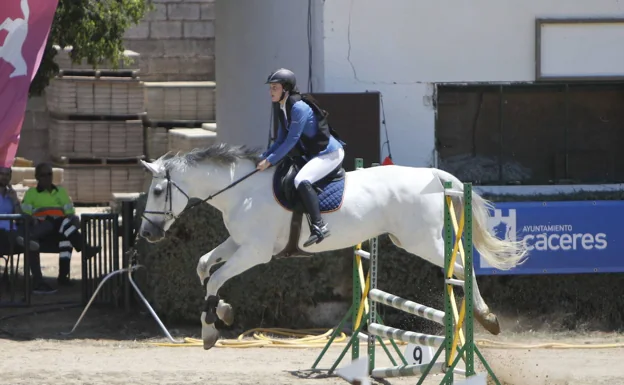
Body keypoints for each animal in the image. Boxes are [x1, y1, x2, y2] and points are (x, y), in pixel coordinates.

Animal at [140, 142, 528, 350]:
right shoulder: (238, 242)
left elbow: (217, 278)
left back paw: (486, 317)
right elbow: (204, 266)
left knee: (461, 266)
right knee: (460, 266)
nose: (147, 234)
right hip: (412, 240)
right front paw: (221, 312)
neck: (241, 191)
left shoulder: (255, 252)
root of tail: (432, 175)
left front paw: (211, 327)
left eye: (158, 191)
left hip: (421, 241)